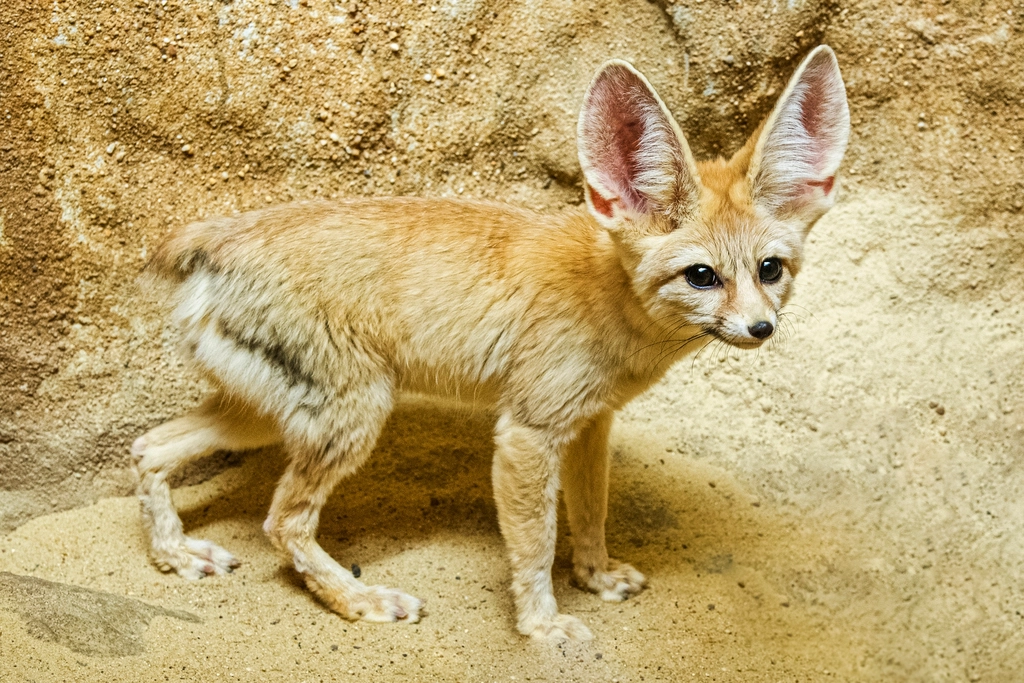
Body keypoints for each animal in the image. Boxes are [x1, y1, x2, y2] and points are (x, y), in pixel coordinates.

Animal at [131, 46, 849, 640]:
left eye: (770, 270)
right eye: (702, 276)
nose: (761, 328)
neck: (608, 294)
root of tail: (215, 235)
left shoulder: (590, 425)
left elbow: (590, 513)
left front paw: (596, 576)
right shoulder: (528, 432)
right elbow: (534, 543)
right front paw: (543, 626)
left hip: (266, 416)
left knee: (149, 449)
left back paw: (175, 556)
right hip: (352, 416)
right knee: (282, 522)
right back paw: (360, 600)